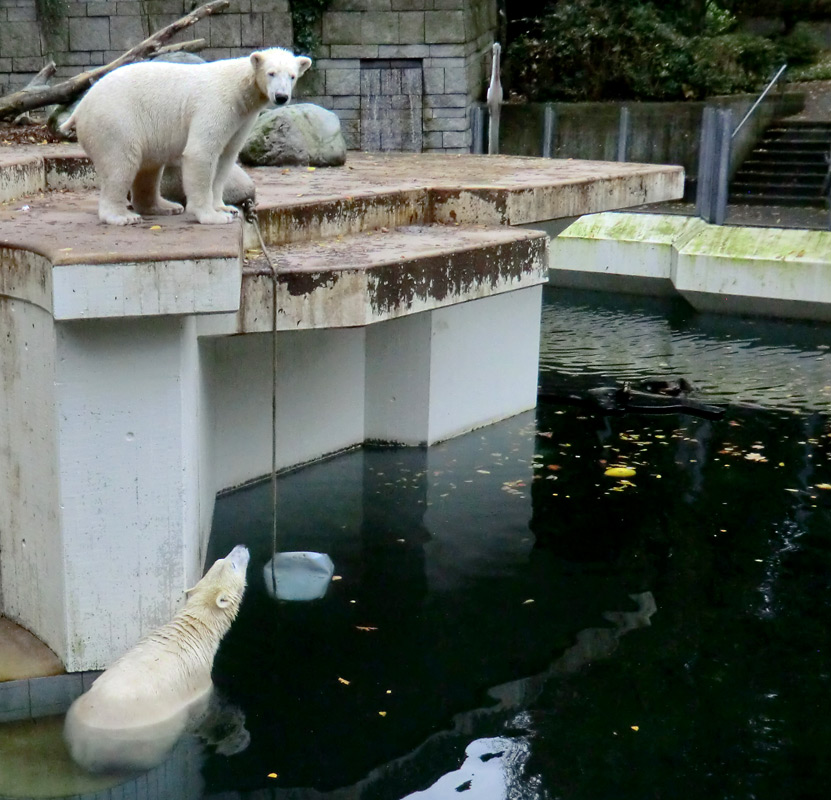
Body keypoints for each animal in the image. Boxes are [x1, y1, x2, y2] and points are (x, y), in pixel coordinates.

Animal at [60, 48, 310, 225]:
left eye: (292, 76)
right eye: (271, 73)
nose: (281, 96)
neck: (239, 88)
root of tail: (80, 107)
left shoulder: (242, 119)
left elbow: (226, 158)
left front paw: (226, 208)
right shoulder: (216, 104)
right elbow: (201, 152)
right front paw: (212, 216)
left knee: (148, 168)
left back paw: (164, 206)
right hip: (116, 120)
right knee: (121, 164)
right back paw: (122, 216)